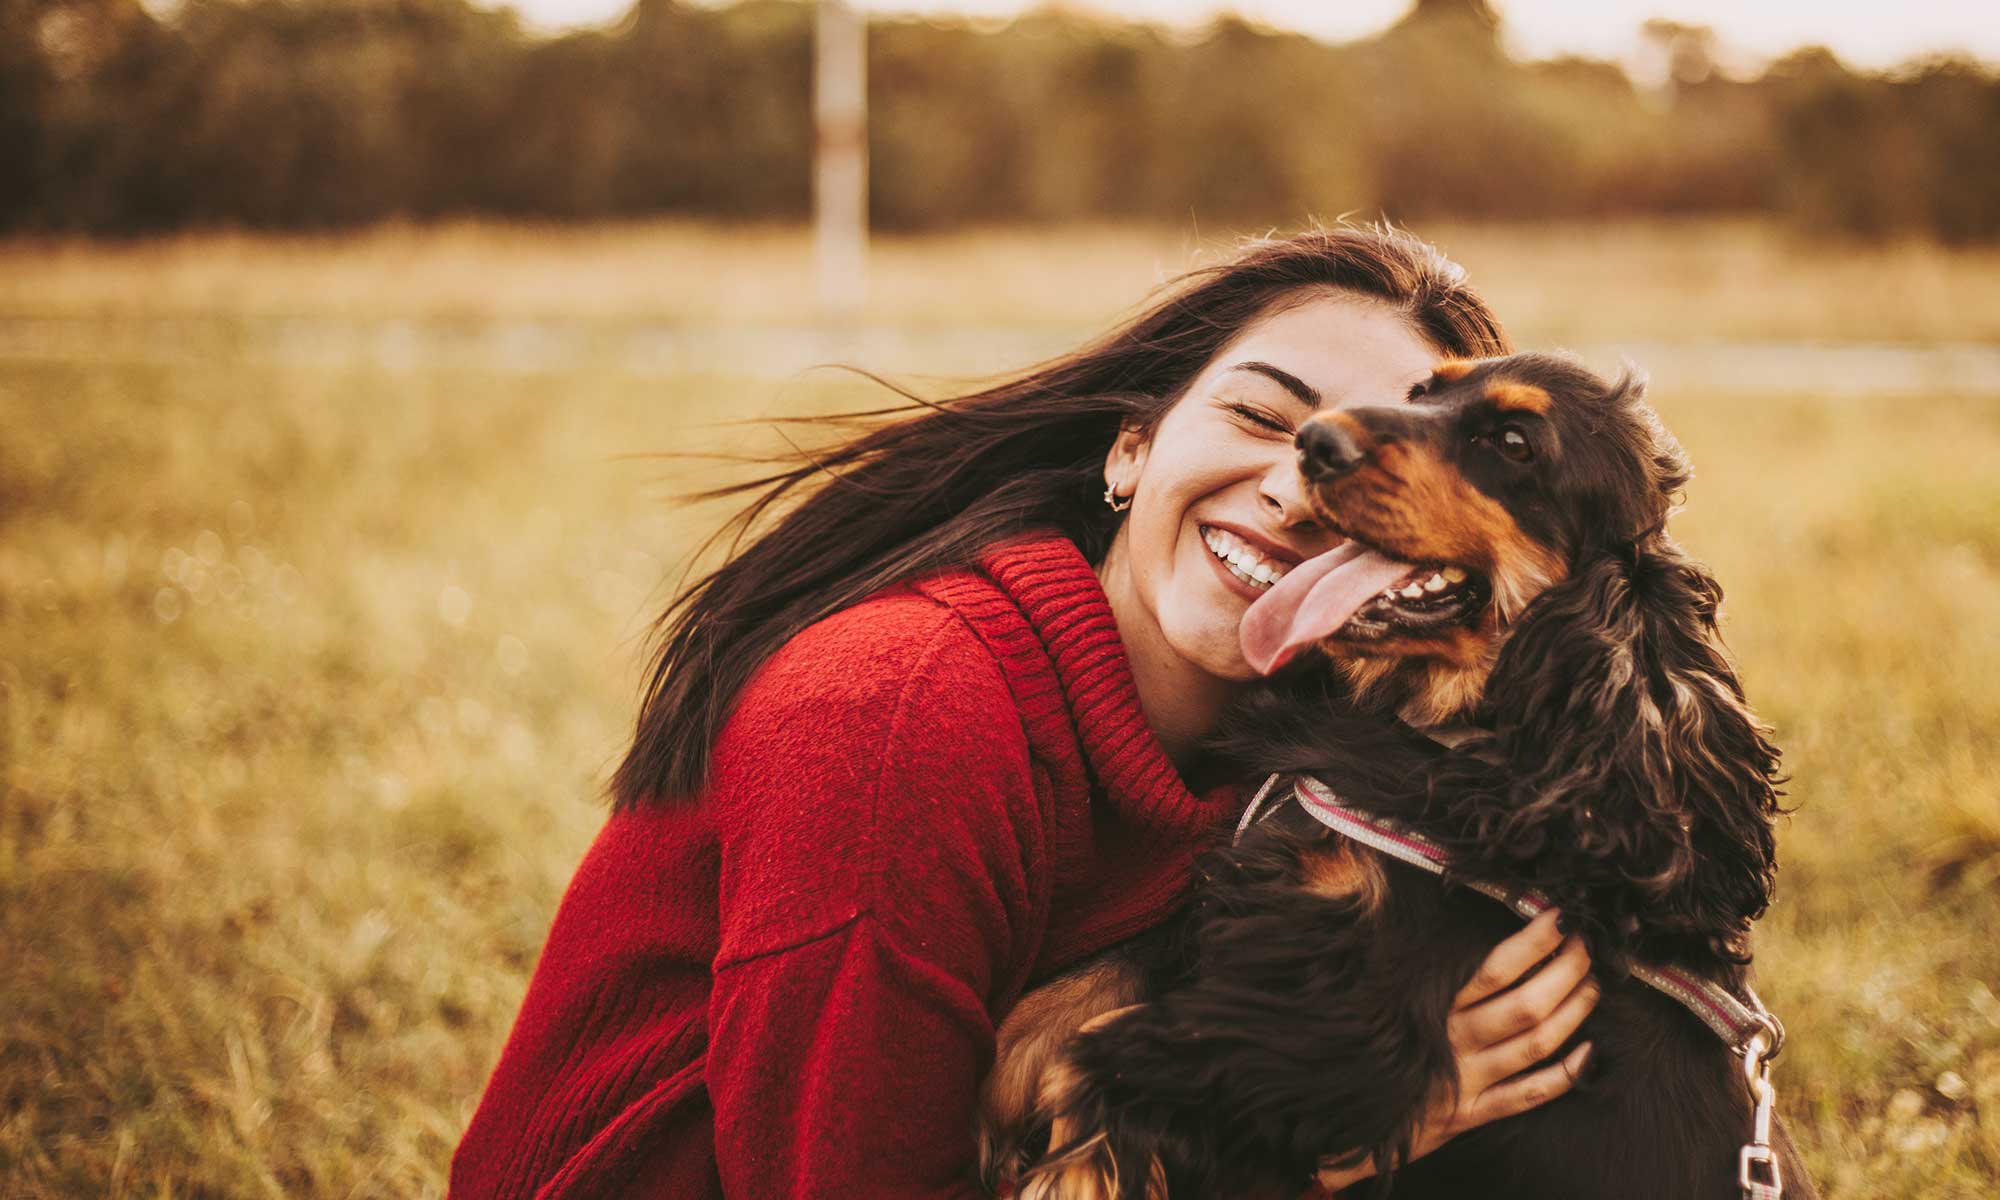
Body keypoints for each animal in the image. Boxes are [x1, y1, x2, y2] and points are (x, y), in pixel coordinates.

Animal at [976, 354, 1824, 1200]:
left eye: (1513, 443)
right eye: (1424, 392)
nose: (1315, 444)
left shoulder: (1354, 1019)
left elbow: (1095, 1066)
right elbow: (1057, 1007)